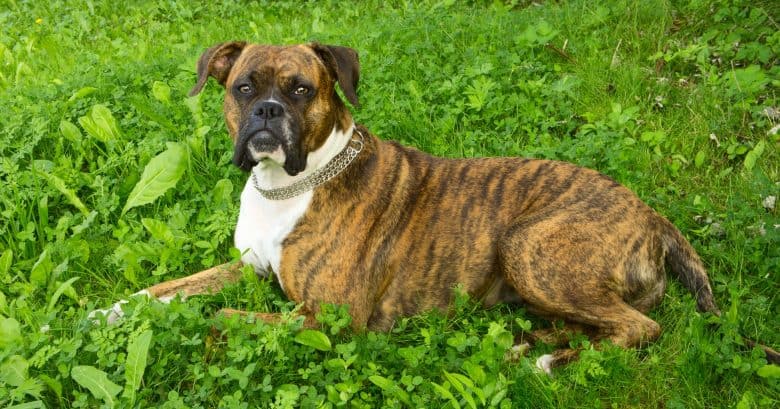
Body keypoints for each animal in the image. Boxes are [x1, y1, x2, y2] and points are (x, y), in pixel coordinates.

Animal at [96, 42, 780, 372]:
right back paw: (529, 345)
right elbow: (165, 292)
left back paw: (547, 361)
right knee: (603, 323)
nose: (267, 112)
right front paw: (101, 316)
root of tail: (651, 215)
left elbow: (219, 317)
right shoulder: (246, 269)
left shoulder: (328, 321)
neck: (289, 185)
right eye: (242, 87)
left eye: (302, 90)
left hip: (528, 244)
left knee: (638, 328)